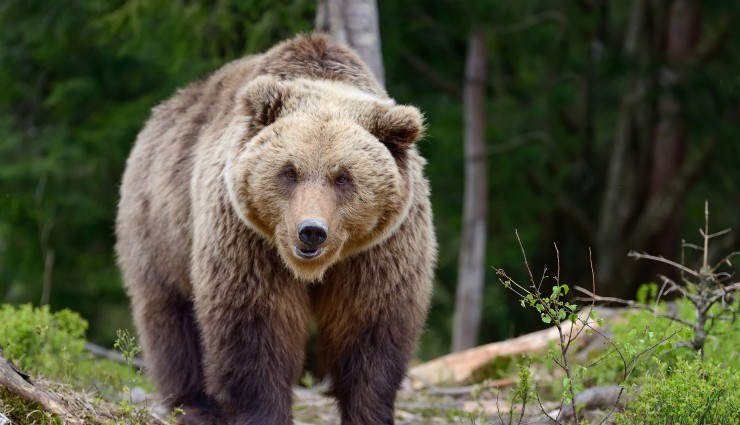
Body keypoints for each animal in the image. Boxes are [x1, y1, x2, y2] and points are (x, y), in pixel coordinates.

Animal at [115, 34, 436, 424]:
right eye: (289, 171)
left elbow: (370, 331)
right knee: (171, 318)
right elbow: (255, 329)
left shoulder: (379, 251)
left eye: (343, 177)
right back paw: (197, 406)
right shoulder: (248, 240)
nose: (311, 231)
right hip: (160, 227)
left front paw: (369, 411)